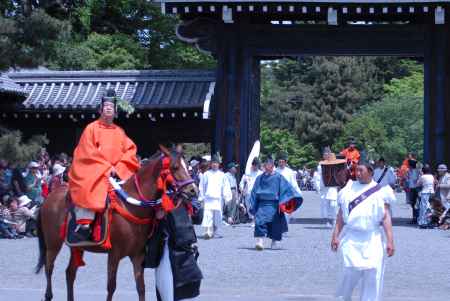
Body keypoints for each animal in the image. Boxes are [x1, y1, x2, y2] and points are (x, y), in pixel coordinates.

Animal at [35, 144, 197, 298]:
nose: (193, 190)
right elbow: (111, 287)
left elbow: (141, 287)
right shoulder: (114, 254)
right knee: (49, 268)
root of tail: (49, 197)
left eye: (186, 166)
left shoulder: (137, 255)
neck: (131, 206)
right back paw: (48, 295)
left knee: (70, 273)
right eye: (175, 167)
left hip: (76, 246)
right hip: (53, 243)